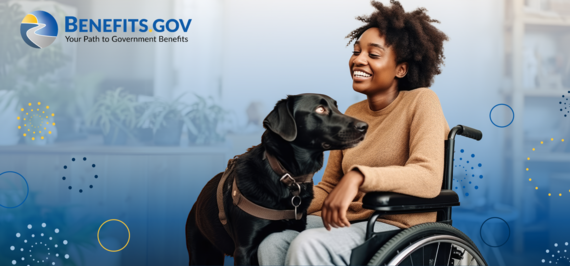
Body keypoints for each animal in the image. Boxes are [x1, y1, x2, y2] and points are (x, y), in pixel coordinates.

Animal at [184, 93, 366, 264]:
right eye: (320, 109)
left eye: (337, 108)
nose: (365, 126)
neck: (286, 174)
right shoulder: (244, 250)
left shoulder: (296, 229)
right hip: (201, 252)